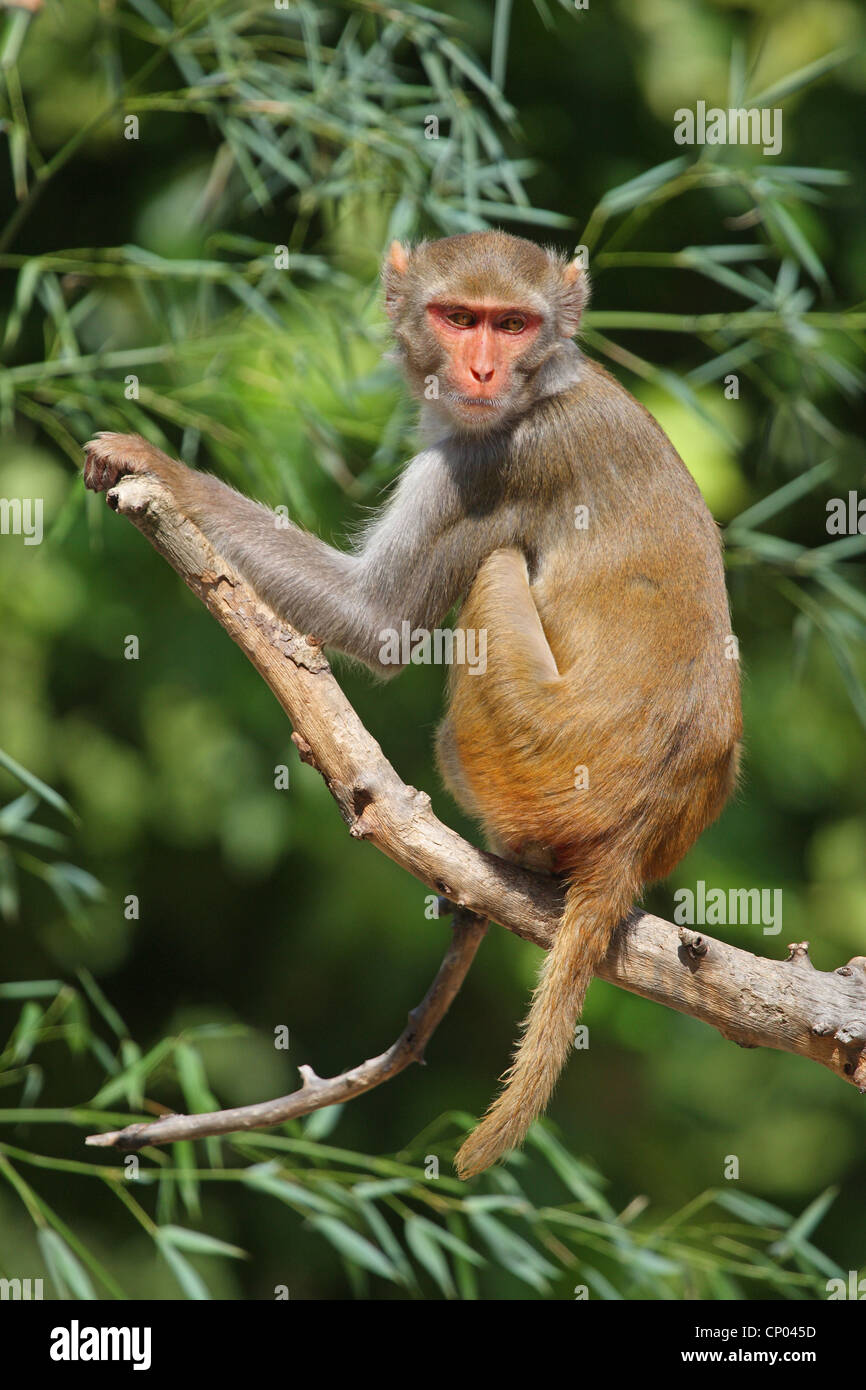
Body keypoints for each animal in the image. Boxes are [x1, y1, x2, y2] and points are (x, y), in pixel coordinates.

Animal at [84, 225, 739, 1173]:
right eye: (459, 317)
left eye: (511, 324)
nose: (481, 371)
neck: (543, 387)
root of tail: (632, 838)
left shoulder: (481, 466)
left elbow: (378, 619)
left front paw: (153, 464)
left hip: (522, 751)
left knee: (494, 570)